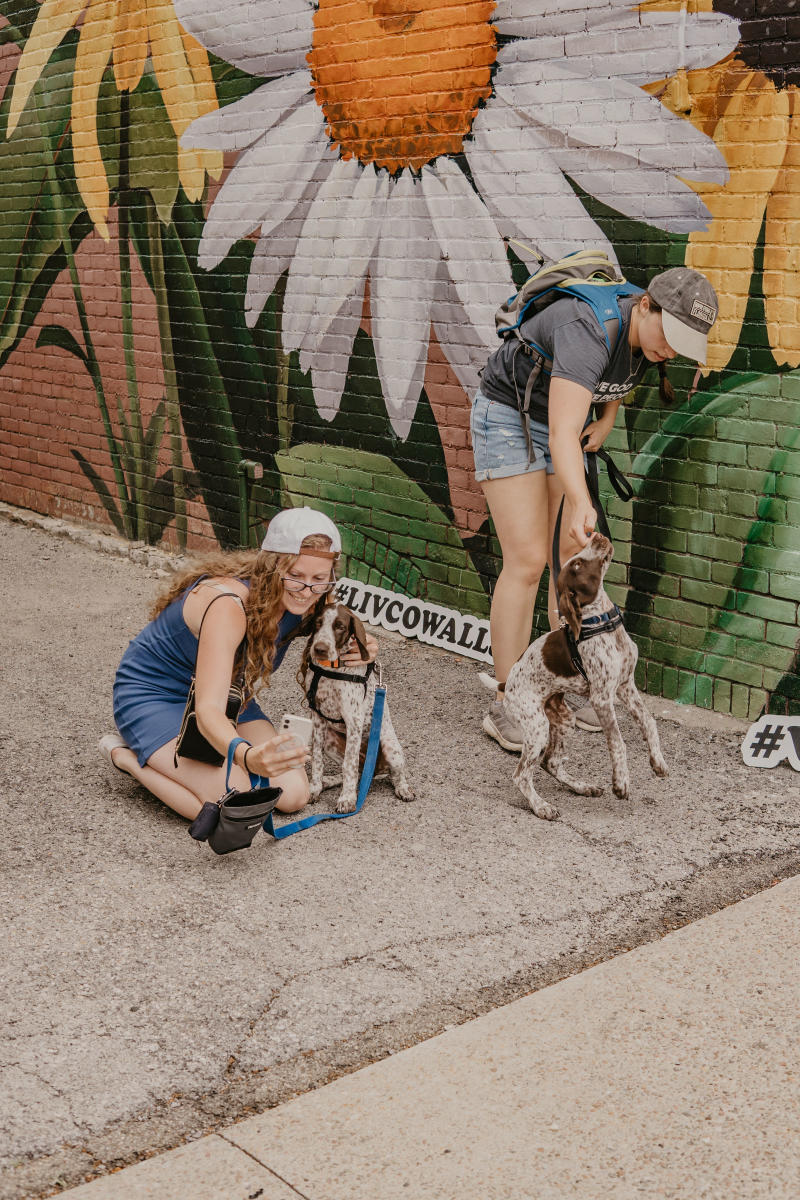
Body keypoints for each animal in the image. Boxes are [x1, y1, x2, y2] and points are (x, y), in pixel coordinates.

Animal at [298, 604, 417, 811]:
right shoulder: (318, 720)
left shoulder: (353, 722)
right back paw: (329, 781)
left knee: (395, 775)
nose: (319, 649)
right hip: (330, 740)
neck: (331, 669)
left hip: (391, 748)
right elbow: (317, 760)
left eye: (340, 627)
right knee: (359, 772)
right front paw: (315, 788)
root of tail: (374, 769)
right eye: (318, 623)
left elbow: (349, 765)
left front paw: (347, 799)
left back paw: (403, 789)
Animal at [506, 532, 671, 820]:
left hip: (563, 719)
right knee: (522, 775)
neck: (603, 621)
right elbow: (618, 742)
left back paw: (583, 787)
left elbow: (650, 723)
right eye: (577, 565)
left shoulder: (626, 686)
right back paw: (542, 806)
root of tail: (505, 685)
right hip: (536, 727)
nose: (597, 535)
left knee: (551, 762)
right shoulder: (602, 698)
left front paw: (658, 762)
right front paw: (621, 782)